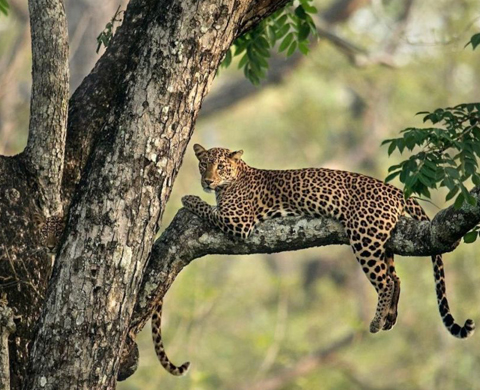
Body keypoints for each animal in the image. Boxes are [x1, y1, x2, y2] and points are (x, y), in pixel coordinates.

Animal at [152, 143, 474, 374]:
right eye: (203, 164)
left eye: (220, 167)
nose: (207, 181)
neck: (236, 177)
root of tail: (394, 189)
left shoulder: (237, 221)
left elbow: (206, 208)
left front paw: (189, 198)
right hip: (382, 242)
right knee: (395, 277)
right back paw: (390, 317)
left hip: (365, 237)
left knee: (384, 281)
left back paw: (375, 321)